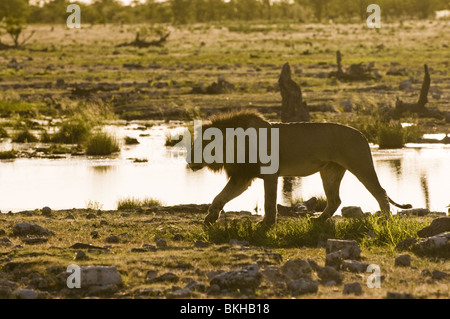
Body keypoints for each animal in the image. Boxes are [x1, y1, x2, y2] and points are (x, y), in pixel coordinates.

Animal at [186, 111, 412, 226]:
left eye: (200, 145)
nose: (188, 160)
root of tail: (362, 133)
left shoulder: (268, 174)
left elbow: (269, 202)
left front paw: (266, 223)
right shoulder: (243, 176)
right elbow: (220, 196)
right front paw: (210, 218)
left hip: (360, 165)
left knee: (380, 191)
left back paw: (385, 218)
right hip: (329, 171)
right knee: (335, 200)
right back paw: (319, 219)